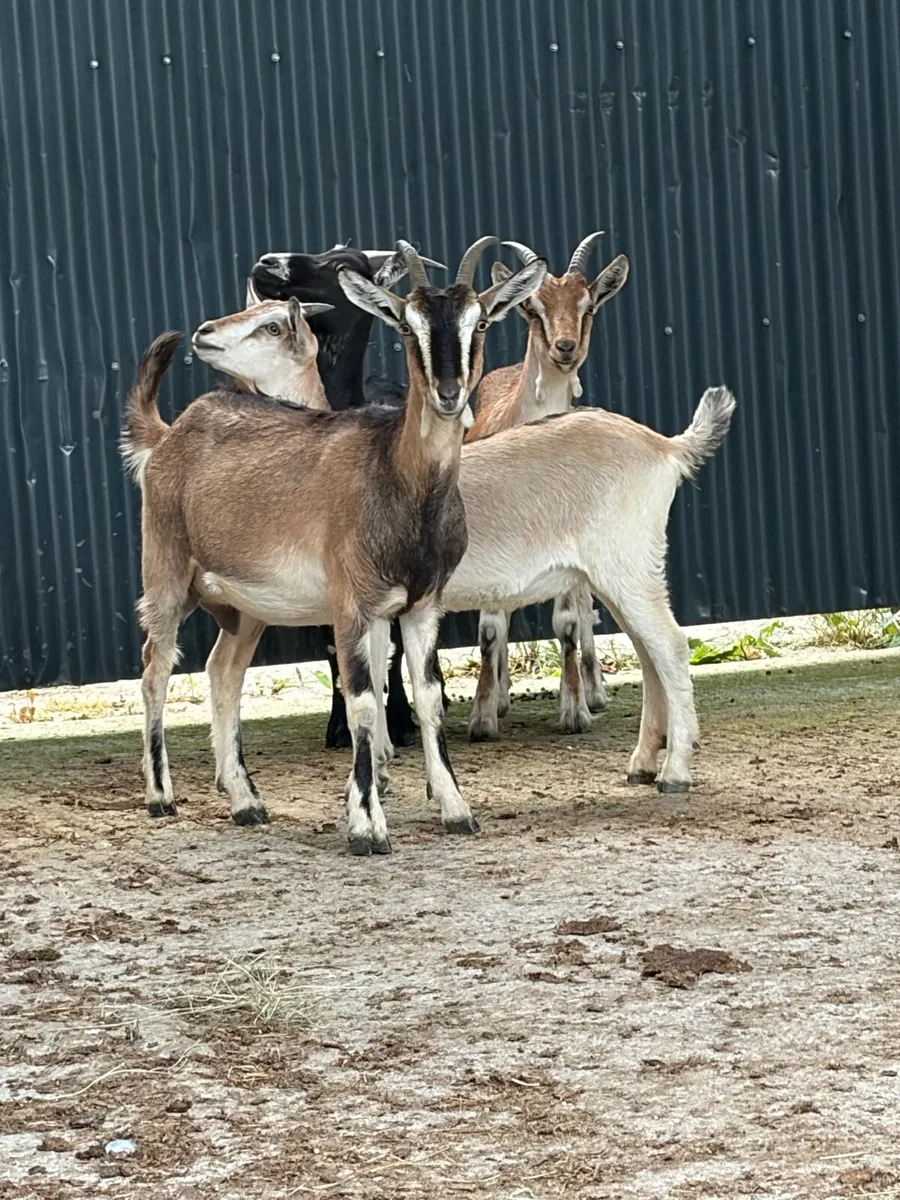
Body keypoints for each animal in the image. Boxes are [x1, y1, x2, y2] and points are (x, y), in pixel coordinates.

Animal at [123, 239, 548, 854]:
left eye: (482, 320)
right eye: (406, 324)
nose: (449, 395)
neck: (398, 477)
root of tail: (171, 434)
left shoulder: (422, 605)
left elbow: (428, 697)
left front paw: (455, 808)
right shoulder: (351, 605)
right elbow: (363, 701)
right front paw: (367, 825)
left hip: (246, 607)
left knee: (223, 672)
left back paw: (247, 802)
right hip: (166, 571)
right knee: (156, 666)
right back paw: (160, 795)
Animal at [195, 295, 735, 798]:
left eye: (272, 326)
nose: (203, 333)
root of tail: (666, 448)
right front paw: (383, 770)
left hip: (628, 565)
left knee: (670, 647)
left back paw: (675, 772)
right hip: (621, 574)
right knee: (649, 655)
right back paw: (643, 763)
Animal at [466, 235, 630, 741]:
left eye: (588, 305)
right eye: (533, 308)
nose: (565, 347)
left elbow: (568, 623)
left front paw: (574, 710)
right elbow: (491, 627)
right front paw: (482, 716)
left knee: (583, 608)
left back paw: (592, 692)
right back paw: (502, 696)